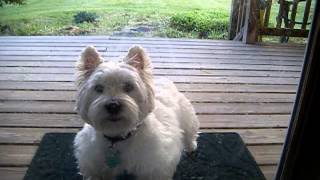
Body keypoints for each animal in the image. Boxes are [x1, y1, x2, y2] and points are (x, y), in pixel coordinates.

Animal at [74, 45, 199, 180]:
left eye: (129, 86)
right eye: (98, 88)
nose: (113, 106)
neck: (118, 137)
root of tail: (164, 80)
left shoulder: (153, 167)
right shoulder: (95, 167)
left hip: (187, 116)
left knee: (189, 133)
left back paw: (191, 146)